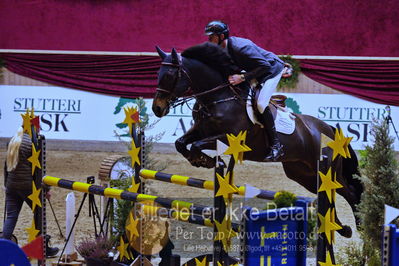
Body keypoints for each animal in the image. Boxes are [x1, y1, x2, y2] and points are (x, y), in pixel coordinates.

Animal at [154, 43, 366, 237]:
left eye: (169, 76)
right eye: (158, 74)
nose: (157, 108)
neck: (219, 98)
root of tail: (328, 129)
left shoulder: (230, 138)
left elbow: (197, 145)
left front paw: (204, 160)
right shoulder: (200, 130)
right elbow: (181, 143)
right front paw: (201, 160)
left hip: (327, 169)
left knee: (349, 191)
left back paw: (357, 226)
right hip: (302, 173)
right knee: (328, 193)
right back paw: (340, 227)